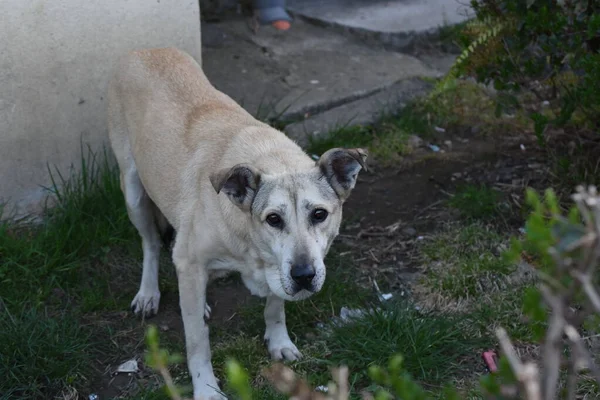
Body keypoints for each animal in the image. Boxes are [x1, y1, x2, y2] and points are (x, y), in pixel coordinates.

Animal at [108, 48, 368, 398]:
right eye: (273, 219)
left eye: (319, 214)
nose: (304, 276)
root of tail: (143, 49)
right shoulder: (191, 260)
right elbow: (197, 341)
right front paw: (206, 388)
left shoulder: (277, 266)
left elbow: (275, 306)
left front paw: (279, 342)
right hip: (133, 191)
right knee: (150, 243)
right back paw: (149, 293)